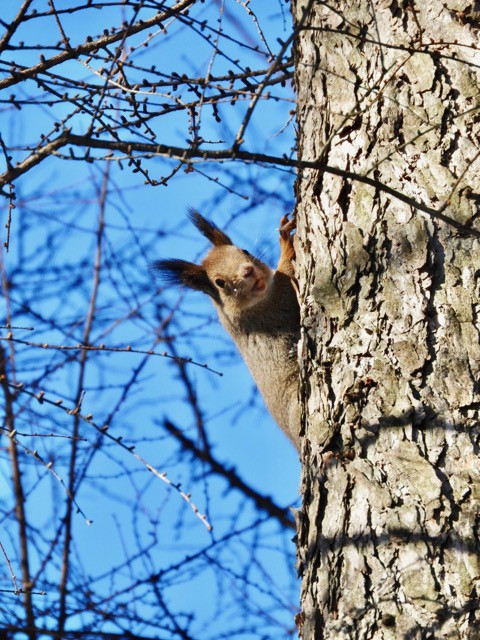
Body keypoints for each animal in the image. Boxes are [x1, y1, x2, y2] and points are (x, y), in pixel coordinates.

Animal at [155, 210, 300, 450]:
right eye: (219, 283)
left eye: (245, 250)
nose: (248, 270)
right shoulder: (278, 302)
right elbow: (287, 269)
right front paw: (286, 242)